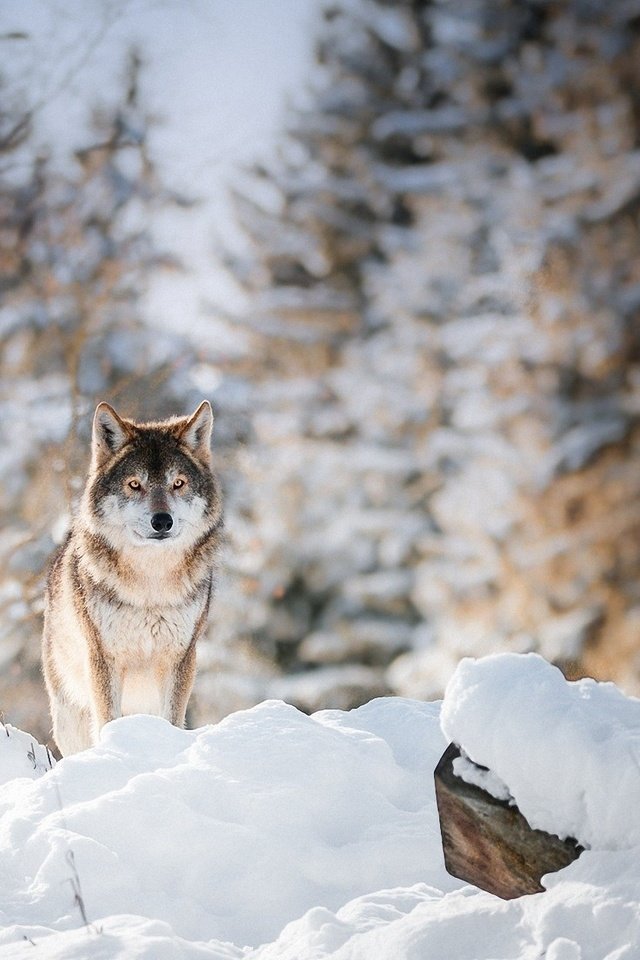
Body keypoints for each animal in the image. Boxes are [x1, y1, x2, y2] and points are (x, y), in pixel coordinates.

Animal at [42, 400, 222, 756]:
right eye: (135, 484)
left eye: (178, 483)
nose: (162, 521)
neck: (150, 585)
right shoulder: (103, 658)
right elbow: (107, 720)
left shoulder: (180, 658)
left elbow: (172, 719)